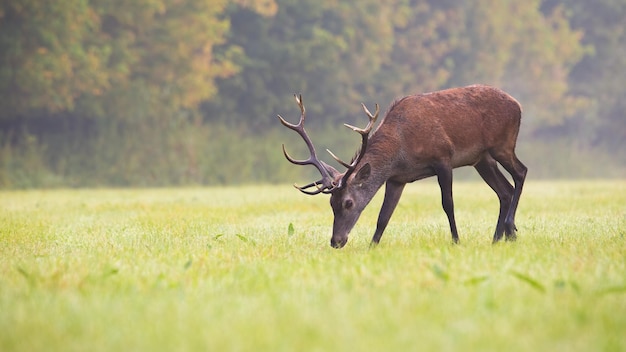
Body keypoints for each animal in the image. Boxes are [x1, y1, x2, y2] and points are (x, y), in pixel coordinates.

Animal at [278, 84, 528, 250]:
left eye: (348, 203)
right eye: (331, 203)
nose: (336, 241)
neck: (401, 150)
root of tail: (518, 104)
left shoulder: (443, 158)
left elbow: (448, 204)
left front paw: (456, 241)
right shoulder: (397, 179)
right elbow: (384, 216)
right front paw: (372, 247)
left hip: (503, 144)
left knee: (521, 172)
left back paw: (510, 229)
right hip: (482, 159)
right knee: (504, 190)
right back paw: (500, 237)